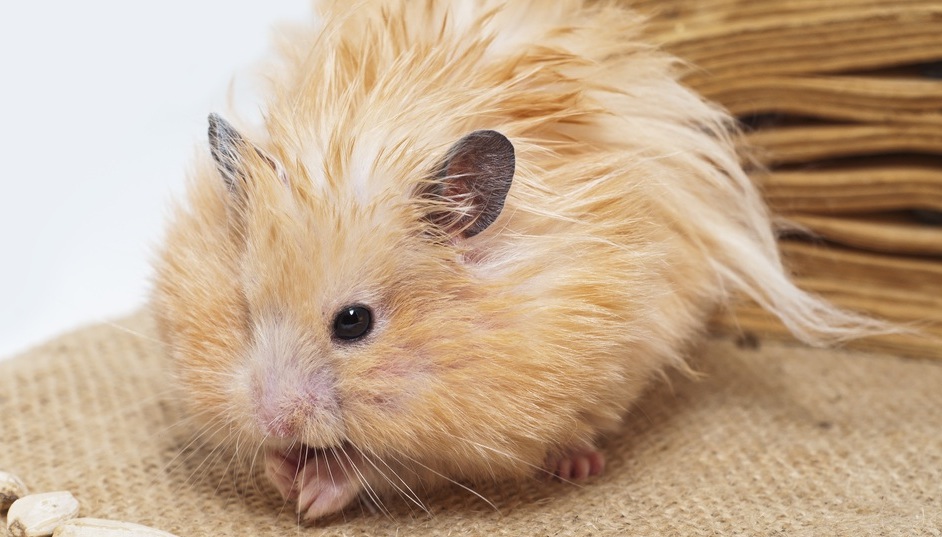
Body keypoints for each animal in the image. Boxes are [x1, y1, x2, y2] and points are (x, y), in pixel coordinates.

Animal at [151, 0, 888, 521]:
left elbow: (391, 465)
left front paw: (313, 491)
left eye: (354, 323)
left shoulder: (481, 426)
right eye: (246, 310)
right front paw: (282, 470)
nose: (274, 419)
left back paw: (578, 462)